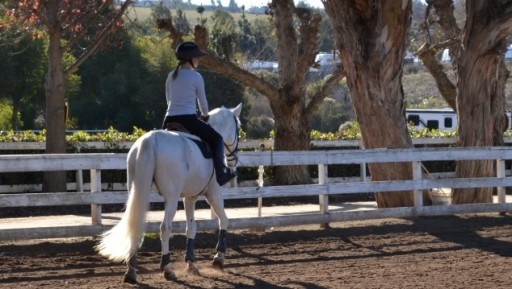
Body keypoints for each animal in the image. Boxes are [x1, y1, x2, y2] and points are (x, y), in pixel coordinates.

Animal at [96, 103, 242, 282]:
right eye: (239, 128)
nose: (233, 160)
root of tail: (149, 141)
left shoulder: (190, 198)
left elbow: (191, 228)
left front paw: (192, 263)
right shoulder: (213, 194)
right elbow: (224, 220)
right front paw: (218, 259)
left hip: (136, 192)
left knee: (135, 225)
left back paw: (131, 270)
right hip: (172, 199)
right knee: (165, 228)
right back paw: (167, 268)